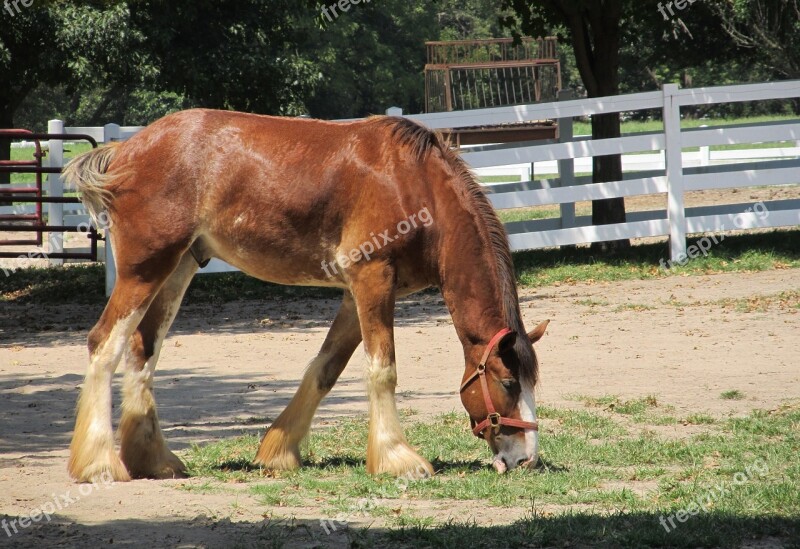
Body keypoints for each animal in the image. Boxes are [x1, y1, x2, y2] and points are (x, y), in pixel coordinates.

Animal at [64, 109, 552, 482]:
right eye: (509, 383)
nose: (526, 458)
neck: (415, 184)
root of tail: (127, 149)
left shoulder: (356, 294)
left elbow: (325, 370)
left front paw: (278, 451)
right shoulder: (373, 281)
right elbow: (382, 371)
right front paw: (397, 459)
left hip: (177, 268)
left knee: (143, 352)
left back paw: (153, 461)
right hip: (144, 270)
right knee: (104, 344)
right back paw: (98, 465)